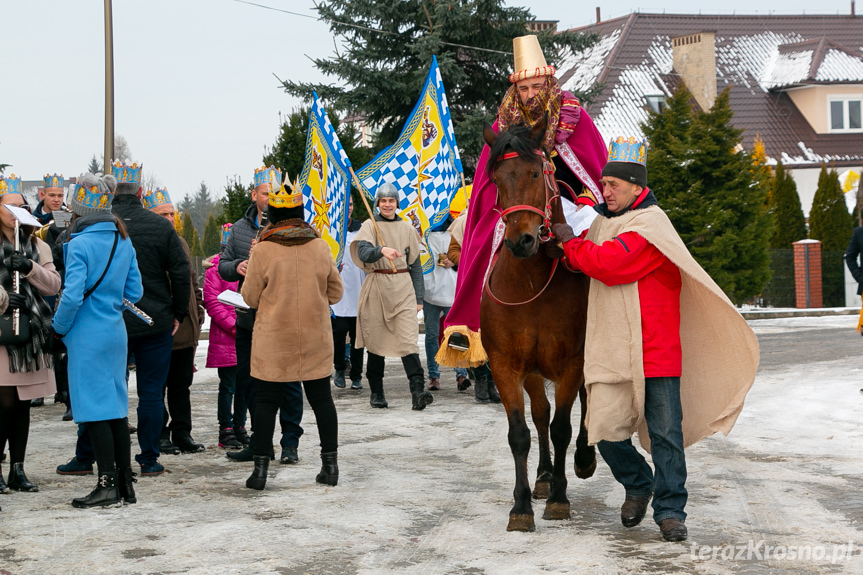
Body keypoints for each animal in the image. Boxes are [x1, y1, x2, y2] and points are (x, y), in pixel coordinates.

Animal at [480, 119, 592, 532]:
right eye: (497, 179)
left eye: (534, 173)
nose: (521, 241)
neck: (531, 282)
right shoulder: (507, 365)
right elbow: (521, 432)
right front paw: (522, 505)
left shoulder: (573, 363)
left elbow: (563, 428)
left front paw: (560, 498)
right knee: (541, 414)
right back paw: (543, 476)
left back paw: (582, 461)